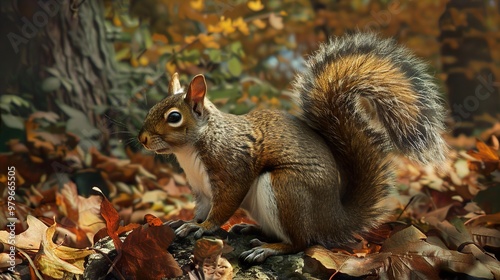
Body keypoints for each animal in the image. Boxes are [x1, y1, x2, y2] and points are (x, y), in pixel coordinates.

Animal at [139, 34, 448, 264]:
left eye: (174, 117)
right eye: (153, 107)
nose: (142, 139)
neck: (191, 152)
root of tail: (333, 218)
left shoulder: (231, 169)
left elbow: (222, 206)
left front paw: (201, 228)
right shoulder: (201, 190)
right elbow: (202, 208)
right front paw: (185, 221)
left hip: (287, 188)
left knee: (302, 242)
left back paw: (268, 248)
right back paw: (252, 228)